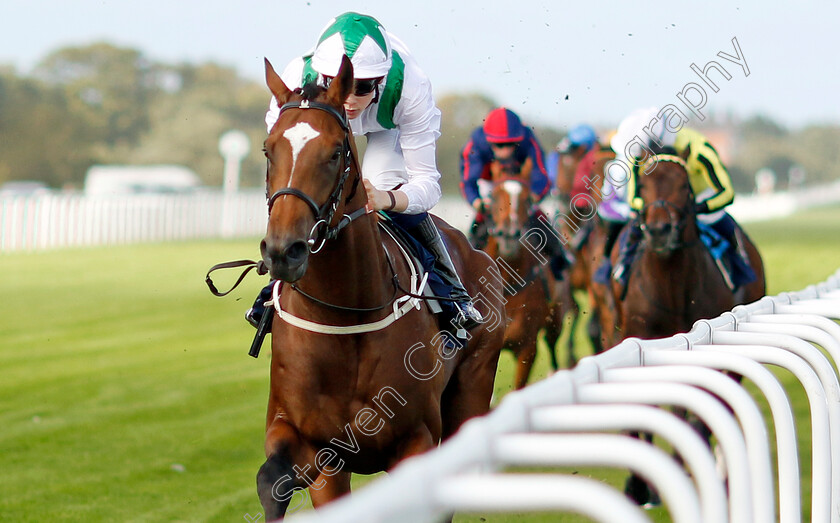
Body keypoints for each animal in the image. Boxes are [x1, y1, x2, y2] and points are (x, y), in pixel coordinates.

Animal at [256, 57, 506, 520]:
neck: (343, 319)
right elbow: (271, 482)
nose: (284, 250)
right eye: (268, 149)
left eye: (335, 153)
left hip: (474, 381)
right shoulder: (311, 446)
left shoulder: (416, 441)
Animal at [480, 164, 564, 388]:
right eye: (494, 197)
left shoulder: (527, 348)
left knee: (553, 343)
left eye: (527, 199)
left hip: (556, 318)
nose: (509, 235)